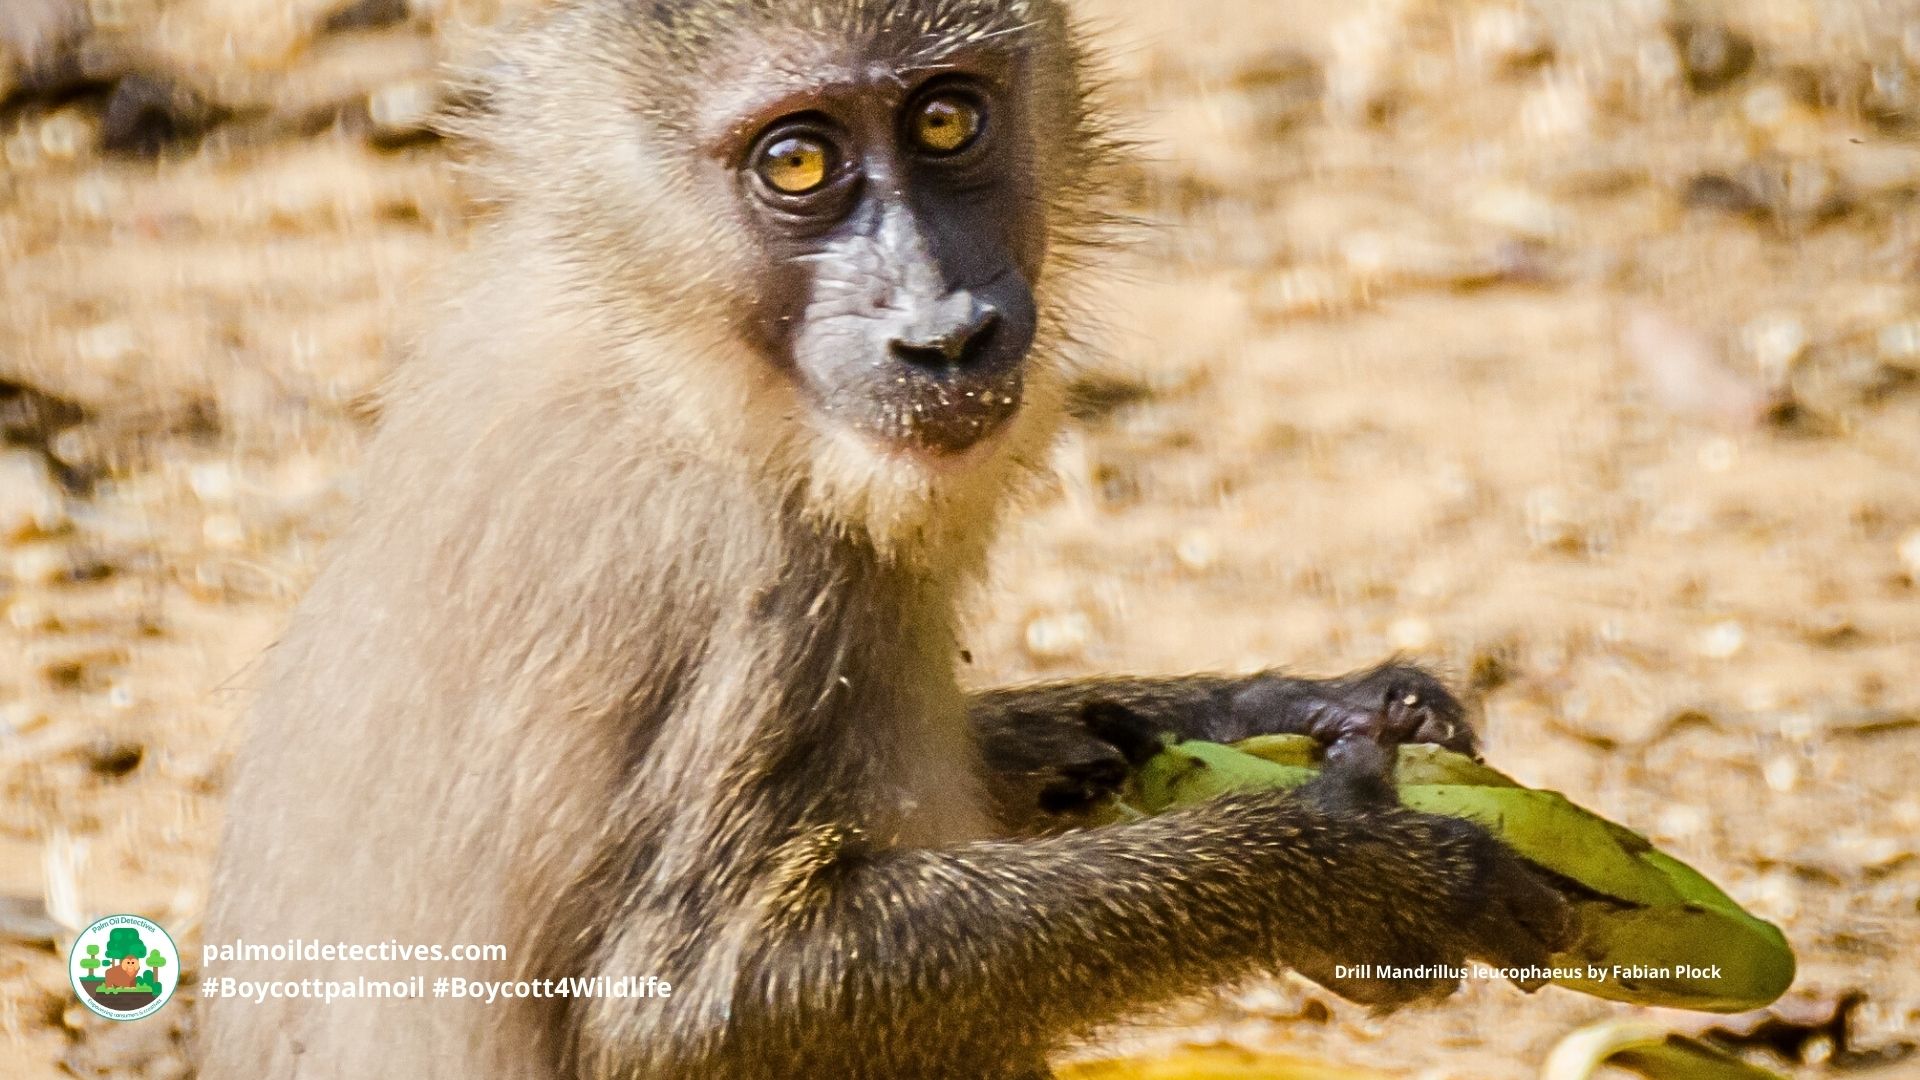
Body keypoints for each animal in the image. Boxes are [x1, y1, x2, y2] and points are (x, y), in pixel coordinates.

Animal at [197, 1, 1574, 1078]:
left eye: (947, 122)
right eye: (799, 163)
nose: (946, 333)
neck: (663, 343)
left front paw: (1296, 709)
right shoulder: (750, 583)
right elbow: (679, 1015)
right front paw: (1355, 868)